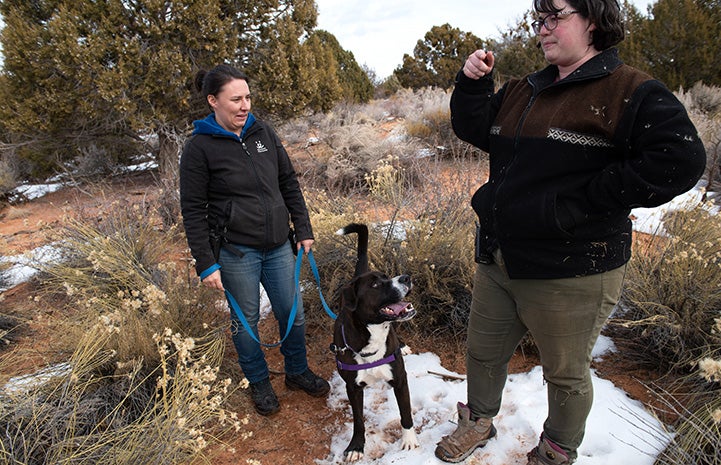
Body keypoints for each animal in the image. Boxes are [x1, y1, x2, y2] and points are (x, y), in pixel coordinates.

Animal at [330, 224, 420, 460]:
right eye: (377, 284)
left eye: (387, 276)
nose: (406, 277)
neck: (371, 339)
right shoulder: (352, 387)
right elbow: (358, 421)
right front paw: (356, 446)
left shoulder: (400, 378)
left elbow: (405, 413)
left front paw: (409, 440)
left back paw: (402, 345)